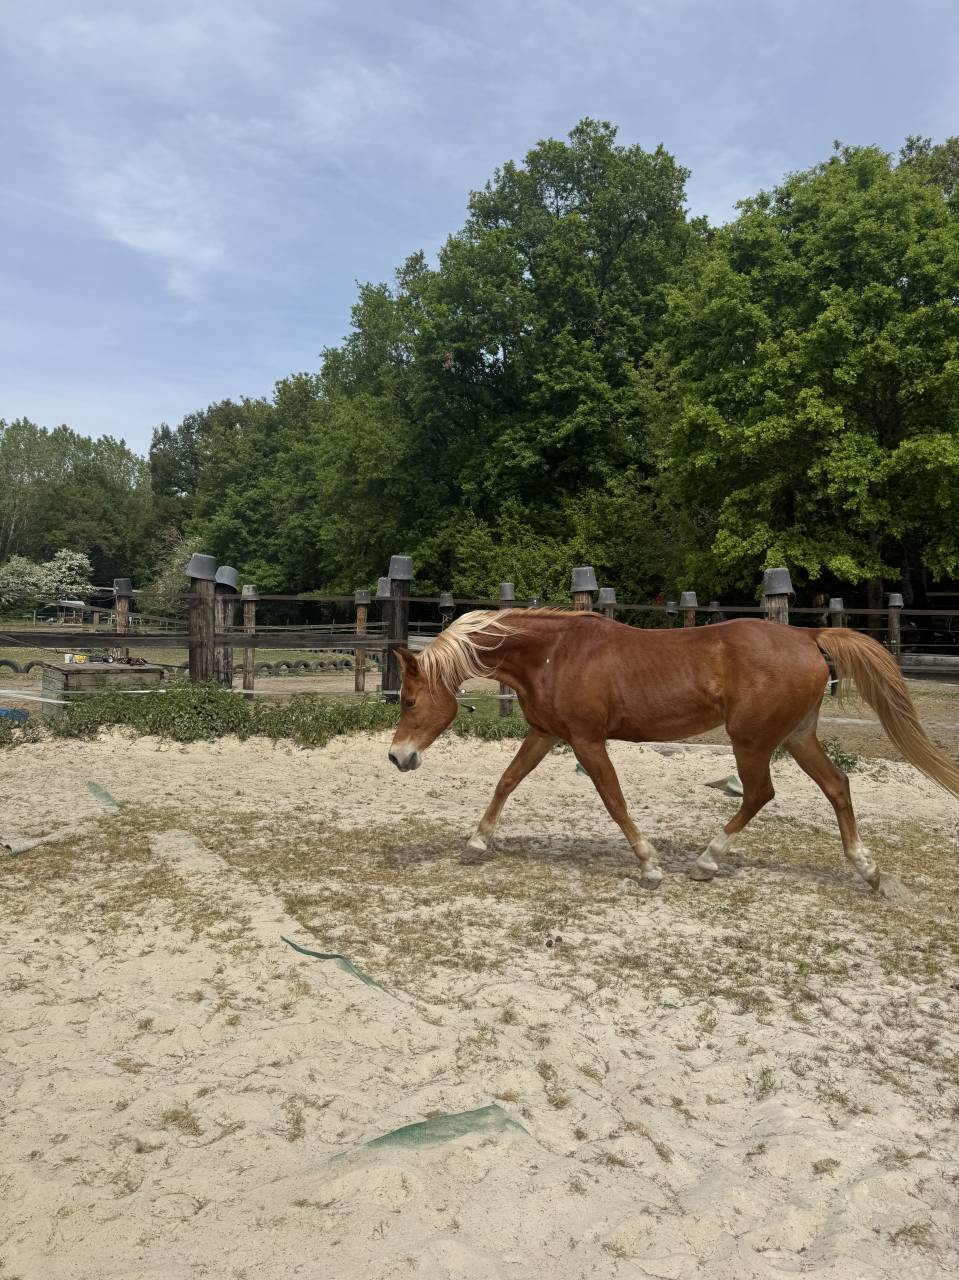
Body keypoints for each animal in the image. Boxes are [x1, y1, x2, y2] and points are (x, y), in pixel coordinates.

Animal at [387, 608, 959, 890]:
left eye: (410, 700)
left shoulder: (587, 741)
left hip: (752, 741)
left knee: (760, 794)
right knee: (838, 786)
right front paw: (477, 842)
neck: (554, 653)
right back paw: (867, 870)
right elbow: (507, 781)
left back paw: (706, 861)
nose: (397, 758)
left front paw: (650, 866)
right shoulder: (545, 734)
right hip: (797, 737)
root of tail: (806, 635)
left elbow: (614, 801)